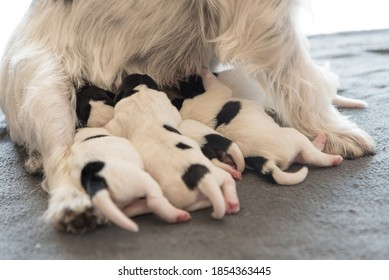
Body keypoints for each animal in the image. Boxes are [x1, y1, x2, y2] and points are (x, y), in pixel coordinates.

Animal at [106, 74, 239, 219]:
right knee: (225, 183)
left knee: (159, 204)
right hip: (214, 178)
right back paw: (232, 202)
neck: (141, 91)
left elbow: (110, 127)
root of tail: (200, 177)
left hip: (172, 196)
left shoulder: (119, 119)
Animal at [180, 69, 342, 185]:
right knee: (312, 155)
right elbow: (212, 82)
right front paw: (204, 70)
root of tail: (262, 159)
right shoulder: (216, 91)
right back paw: (329, 153)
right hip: (295, 137)